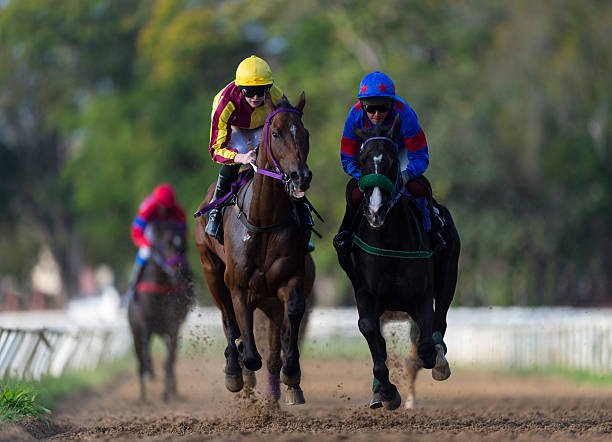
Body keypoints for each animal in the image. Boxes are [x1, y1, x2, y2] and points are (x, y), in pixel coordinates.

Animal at [128, 219, 195, 402]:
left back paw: (173, 389)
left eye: (183, 245)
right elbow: (145, 353)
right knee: (140, 358)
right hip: (136, 333)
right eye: (166, 244)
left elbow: (169, 360)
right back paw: (143, 392)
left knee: (171, 358)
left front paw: (166, 394)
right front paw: (149, 379)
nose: (180, 272)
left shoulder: (172, 326)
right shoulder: (144, 324)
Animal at [195, 93, 316, 404]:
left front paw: (292, 374)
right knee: (228, 319)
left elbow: (291, 318)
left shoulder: (291, 278)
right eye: (276, 133)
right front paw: (238, 367)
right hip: (211, 271)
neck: (264, 221)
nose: (300, 176)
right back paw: (234, 369)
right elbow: (248, 350)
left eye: (305, 133)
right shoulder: (237, 285)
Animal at [340, 117, 460, 410]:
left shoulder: (421, 296)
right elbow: (369, 330)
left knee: (441, 317)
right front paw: (386, 391)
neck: (389, 243)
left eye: (393, 160)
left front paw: (432, 360)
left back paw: (439, 360)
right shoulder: (365, 293)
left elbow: (425, 341)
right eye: (362, 160)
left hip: (449, 274)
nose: (375, 211)